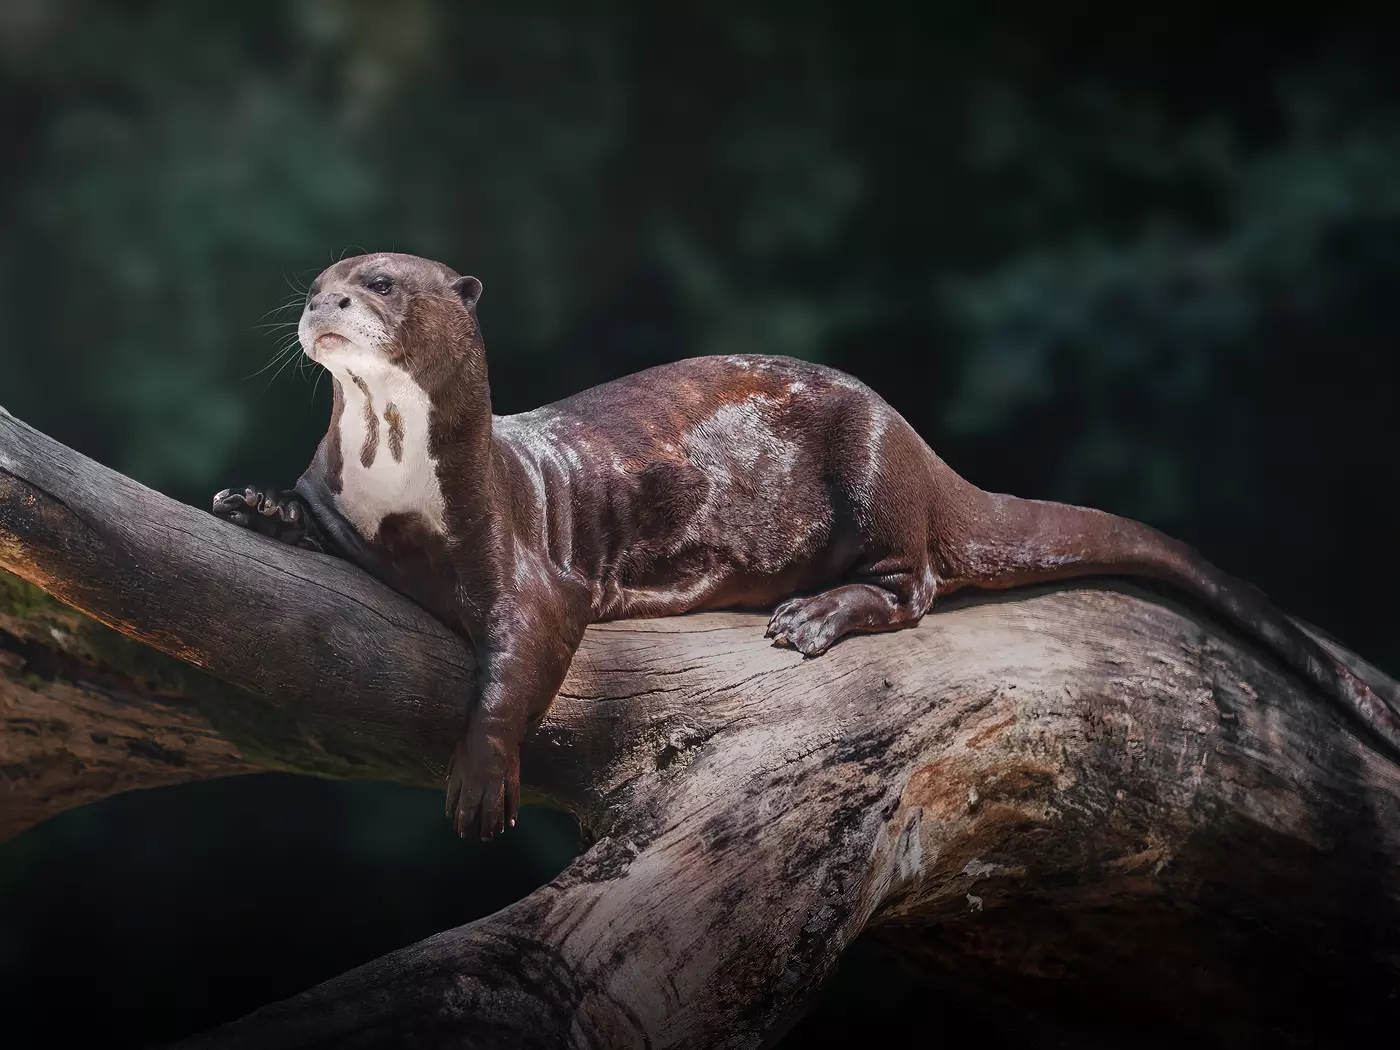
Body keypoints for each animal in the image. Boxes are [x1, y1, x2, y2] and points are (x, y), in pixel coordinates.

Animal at [214, 252, 1400, 840]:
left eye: (380, 283)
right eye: (320, 278)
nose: (323, 302)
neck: (394, 483)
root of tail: (919, 444)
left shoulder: (520, 557)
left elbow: (518, 656)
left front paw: (479, 780)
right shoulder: (340, 500)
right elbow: (302, 516)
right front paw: (248, 503)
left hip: (872, 478)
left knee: (916, 584)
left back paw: (813, 616)